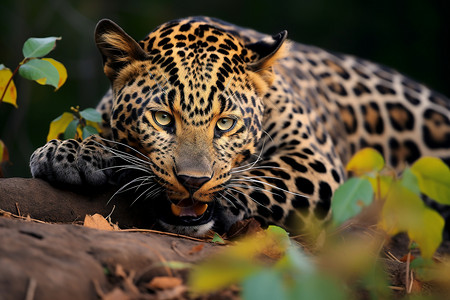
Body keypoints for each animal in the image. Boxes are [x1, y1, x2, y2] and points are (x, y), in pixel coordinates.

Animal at [29, 16, 450, 237]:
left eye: (226, 124)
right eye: (163, 118)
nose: (193, 182)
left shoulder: (313, 157)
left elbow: (266, 178)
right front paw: (69, 152)